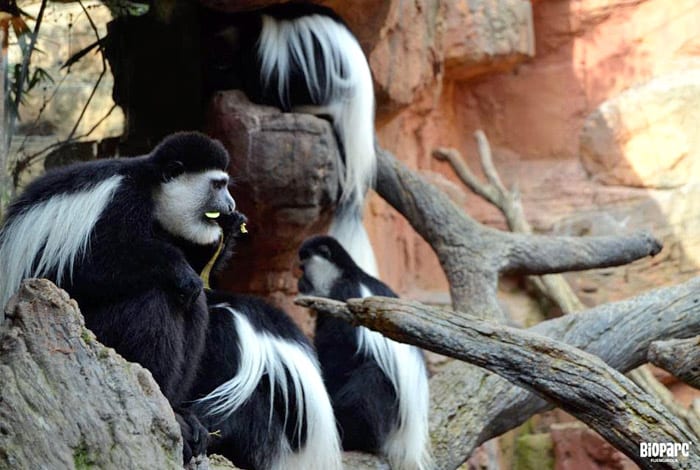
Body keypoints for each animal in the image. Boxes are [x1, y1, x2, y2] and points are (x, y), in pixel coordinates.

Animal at [0, 131, 237, 462]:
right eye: (217, 185)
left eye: (225, 186)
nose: (229, 205)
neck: (152, 188)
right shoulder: (121, 202)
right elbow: (87, 267)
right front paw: (178, 268)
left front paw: (228, 233)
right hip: (96, 328)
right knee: (151, 300)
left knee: (193, 305)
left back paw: (177, 411)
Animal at [296, 235, 432, 470]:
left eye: (304, 268)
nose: (299, 282)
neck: (347, 275)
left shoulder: (344, 296)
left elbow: (339, 349)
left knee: (372, 378)